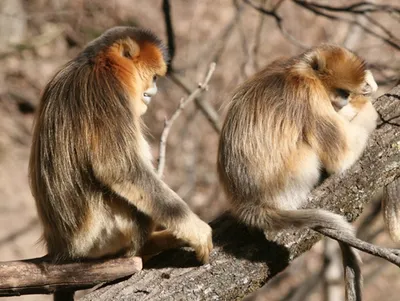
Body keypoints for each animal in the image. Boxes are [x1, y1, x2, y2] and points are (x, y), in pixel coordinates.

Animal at [28, 26, 212, 300]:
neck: (97, 63)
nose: (153, 93)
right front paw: (196, 230)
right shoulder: (107, 89)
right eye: (154, 78)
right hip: (101, 236)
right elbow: (120, 170)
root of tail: (62, 251)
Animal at [217, 44, 380, 300]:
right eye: (342, 92)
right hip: (295, 174)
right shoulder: (310, 95)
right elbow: (342, 156)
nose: (343, 102)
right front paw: (367, 106)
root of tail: (250, 204)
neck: (299, 69)